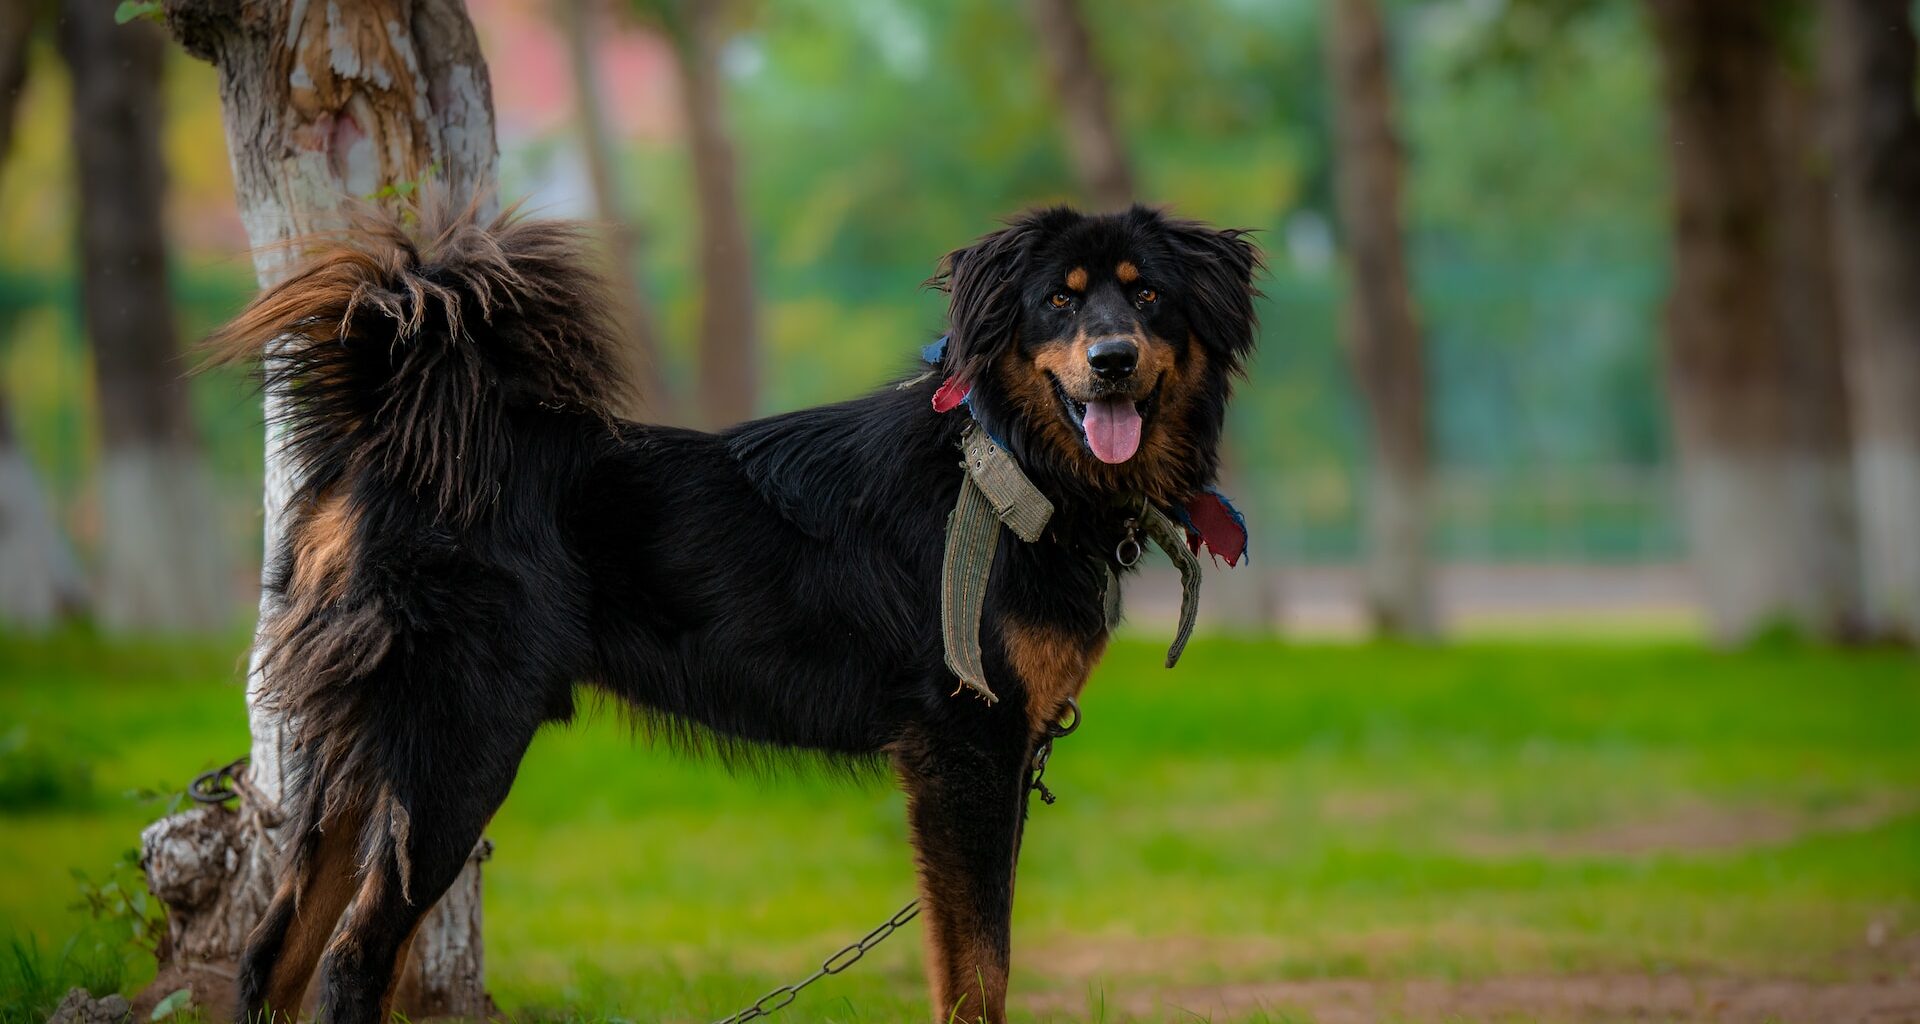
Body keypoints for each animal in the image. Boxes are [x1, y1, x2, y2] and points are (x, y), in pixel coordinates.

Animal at [214, 197, 1259, 1022]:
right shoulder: (967, 747)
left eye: (1150, 297)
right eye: (1058, 300)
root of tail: (388, 430)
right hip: (455, 747)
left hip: (352, 760)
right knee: (355, 960)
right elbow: (978, 971)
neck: (1010, 467)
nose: (1113, 359)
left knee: (273, 954)